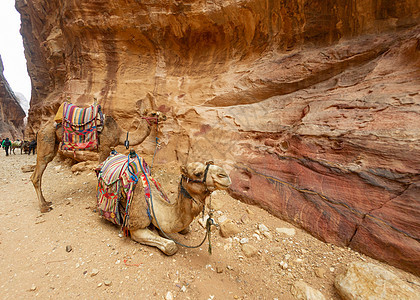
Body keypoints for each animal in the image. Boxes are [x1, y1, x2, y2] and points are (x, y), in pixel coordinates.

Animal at [32, 97, 166, 212]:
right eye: (153, 113)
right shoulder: (104, 147)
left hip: (52, 142)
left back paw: (46, 202)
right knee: (38, 173)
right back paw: (44, 207)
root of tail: (40, 129)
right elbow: (100, 172)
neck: (120, 134)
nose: (164, 116)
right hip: (47, 138)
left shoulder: (109, 149)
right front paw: (98, 204)